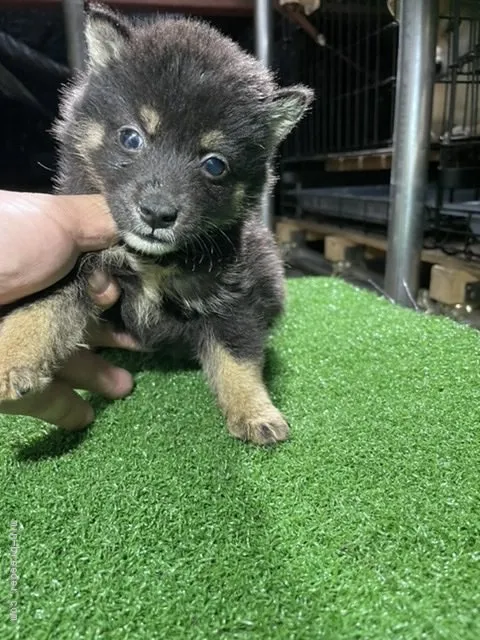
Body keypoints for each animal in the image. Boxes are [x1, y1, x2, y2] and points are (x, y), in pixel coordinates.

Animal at [0, 3, 314, 444]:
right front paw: (12, 356)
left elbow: (238, 357)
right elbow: (43, 302)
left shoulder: (234, 292)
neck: (151, 261)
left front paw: (255, 411)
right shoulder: (78, 259)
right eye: (131, 138)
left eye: (214, 165)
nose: (157, 213)